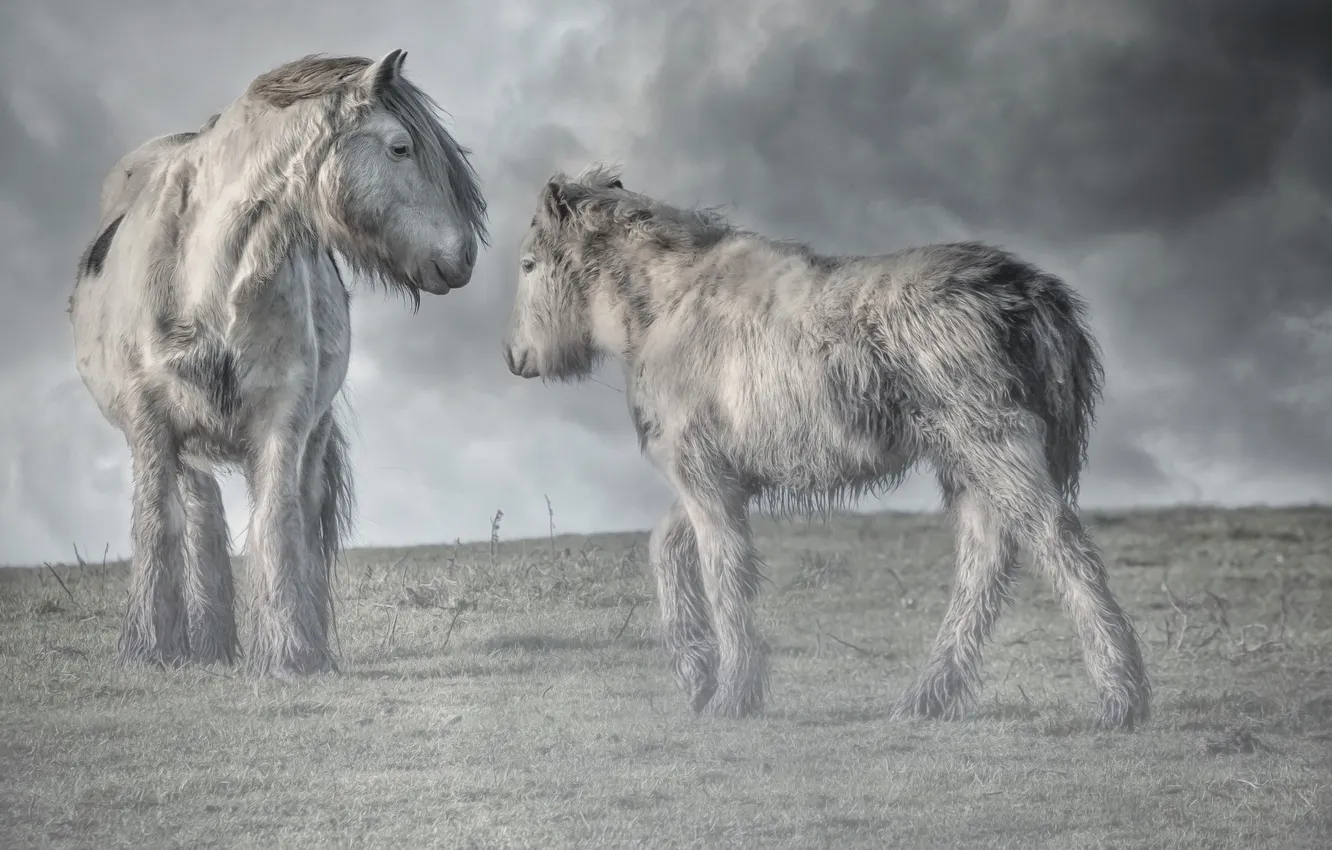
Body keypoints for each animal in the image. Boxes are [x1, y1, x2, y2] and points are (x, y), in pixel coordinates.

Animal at [69, 51, 488, 678]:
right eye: (400, 147)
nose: (463, 257)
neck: (208, 282)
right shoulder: (150, 424)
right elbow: (156, 527)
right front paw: (149, 650)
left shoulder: (282, 421)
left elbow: (276, 522)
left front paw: (292, 654)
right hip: (184, 446)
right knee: (199, 514)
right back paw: (205, 645)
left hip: (309, 432)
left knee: (292, 515)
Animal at [501, 164, 1150, 731]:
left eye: (529, 264)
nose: (515, 357)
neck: (670, 306)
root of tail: (1031, 293)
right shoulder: (725, 479)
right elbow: (668, 546)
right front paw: (696, 671)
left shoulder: (703, 476)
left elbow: (724, 572)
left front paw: (732, 694)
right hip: (967, 466)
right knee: (985, 564)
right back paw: (926, 699)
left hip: (993, 450)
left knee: (1060, 549)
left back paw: (1120, 699)